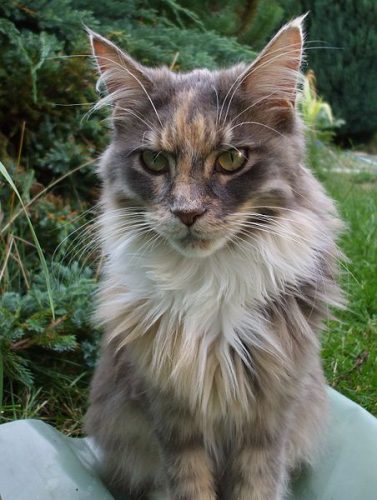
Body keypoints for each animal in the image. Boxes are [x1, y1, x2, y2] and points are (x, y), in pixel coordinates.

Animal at [83, 15, 342, 500]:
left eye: (231, 158)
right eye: (154, 161)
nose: (186, 213)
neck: (210, 279)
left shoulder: (269, 415)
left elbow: (257, 482)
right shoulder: (170, 414)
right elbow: (189, 481)